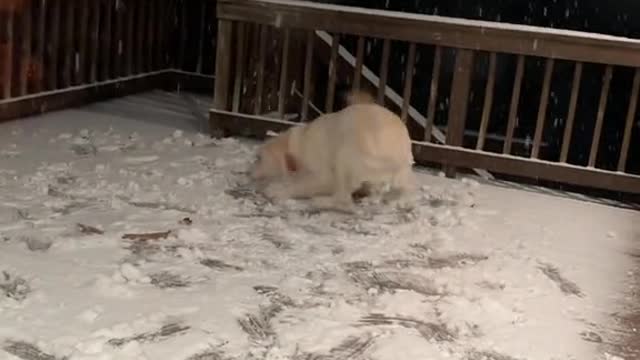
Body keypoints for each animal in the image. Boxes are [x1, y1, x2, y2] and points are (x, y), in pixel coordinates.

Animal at [250, 89, 416, 211]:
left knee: (343, 199)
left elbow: (302, 184)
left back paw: (321, 201)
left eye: (259, 158)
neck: (299, 145)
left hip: (345, 155)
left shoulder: (324, 175)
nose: (248, 173)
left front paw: (276, 191)